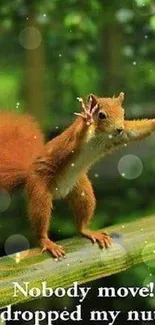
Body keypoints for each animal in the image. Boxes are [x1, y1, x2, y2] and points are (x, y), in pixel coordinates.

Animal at [0, 92, 154, 258]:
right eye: (101, 115)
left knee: (82, 220)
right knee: (40, 216)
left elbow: (135, 131)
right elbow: (78, 136)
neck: (101, 136)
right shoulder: (74, 139)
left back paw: (88, 231)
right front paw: (87, 118)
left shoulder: (121, 135)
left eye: (123, 113)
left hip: (82, 190)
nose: (119, 128)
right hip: (39, 188)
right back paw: (46, 241)